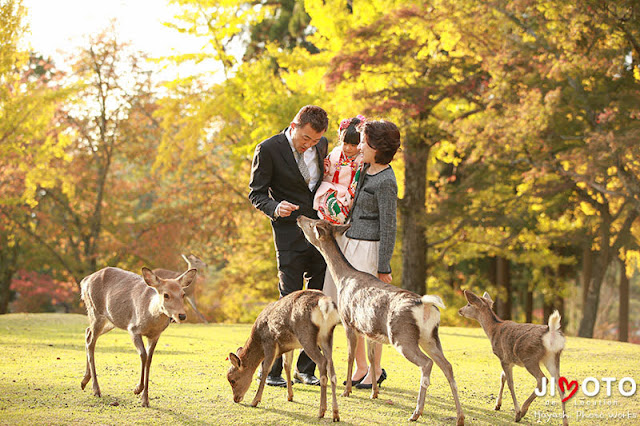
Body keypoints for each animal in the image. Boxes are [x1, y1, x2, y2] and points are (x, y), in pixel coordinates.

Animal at [80, 266, 196, 406]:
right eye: (166, 294)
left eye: (183, 294)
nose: (182, 315)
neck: (150, 314)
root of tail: (84, 281)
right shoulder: (133, 329)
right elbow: (143, 355)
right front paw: (137, 389)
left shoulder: (155, 335)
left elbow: (149, 360)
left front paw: (145, 400)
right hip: (95, 311)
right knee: (91, 342)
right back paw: (96, 389)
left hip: (111, 321)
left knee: (87, 332)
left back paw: (84, 381)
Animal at [228, 290, 342, 422]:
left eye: (232, 380)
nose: (236, 399)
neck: (258, 340)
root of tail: (325, 304)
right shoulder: (289, 346)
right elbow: (287, 365)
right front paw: (290, 396)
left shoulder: (270, 342)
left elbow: (266, 368)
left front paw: (255, 401)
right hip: (327, 336)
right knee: (331, 366)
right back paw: (335, 414)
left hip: (306, 336)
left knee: (322, 362)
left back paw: (321, 411)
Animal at [296, 216, 464, 426]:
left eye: (312, 223)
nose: (299, 217)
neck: (342, 278)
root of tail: (424, 305)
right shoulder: (370, 330)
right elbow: (371, 357)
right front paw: (374, 392)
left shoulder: (348, 322)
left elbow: (350, 356)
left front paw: (347, 390)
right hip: (431, 336)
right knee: (447, 366)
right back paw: (460, 416)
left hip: (402, 336)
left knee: (426, 363)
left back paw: (416, 412)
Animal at [458, 292, 568, 424]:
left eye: (469, 304)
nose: (460, 310)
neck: (493, 330)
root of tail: (552, 332)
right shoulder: (510, 360)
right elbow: (503, 377)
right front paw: (497, 405)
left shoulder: (503, 357)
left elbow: (510, 383)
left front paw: (517, 412)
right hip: (553, 358)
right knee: (560, 385)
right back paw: (565, 422)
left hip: (529, 357)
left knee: (542, 379)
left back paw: (523, 410)